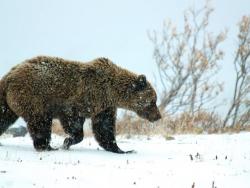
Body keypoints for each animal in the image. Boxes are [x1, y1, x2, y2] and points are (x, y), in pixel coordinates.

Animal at [0, 55, 160, 153]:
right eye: (153, 101)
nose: (158, 116)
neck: (111, 92)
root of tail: (9, 75)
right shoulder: (81, 99)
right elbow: (74, 122)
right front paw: (67, 141)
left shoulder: (104, 107)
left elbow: (104, 128)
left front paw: (122, 149)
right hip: (34, 98)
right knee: (40, 123)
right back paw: (46, 146)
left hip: (8, 101)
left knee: (4, 116)